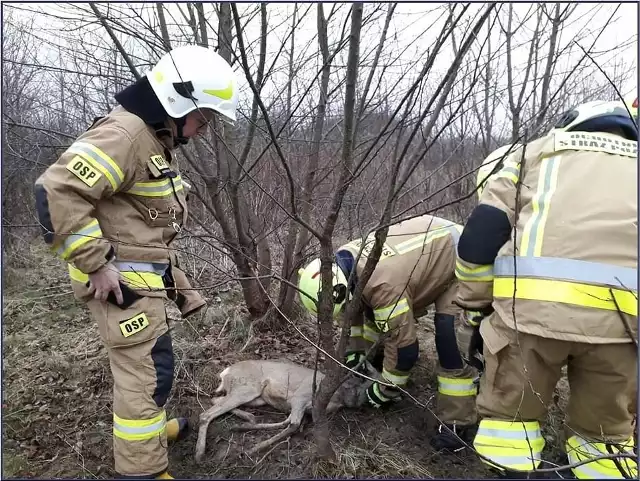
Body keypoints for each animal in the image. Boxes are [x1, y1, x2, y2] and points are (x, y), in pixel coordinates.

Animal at [192, 356, 378, 462]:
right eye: (369, 375)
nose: (361, 400)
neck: (339, 396)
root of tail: (225, 372)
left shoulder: (307, 409)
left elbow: (291, 423)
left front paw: (245, 433)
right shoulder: (300, 397)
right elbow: (292, 424)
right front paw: (253, 448)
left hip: (256, 398)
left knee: (214, 399)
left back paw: (247, 418)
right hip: (246, 388)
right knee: (205, 414)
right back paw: (199, 453)